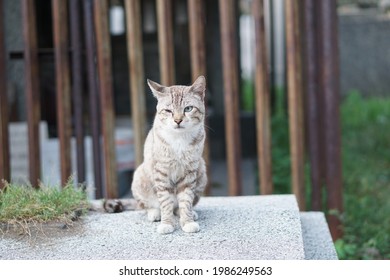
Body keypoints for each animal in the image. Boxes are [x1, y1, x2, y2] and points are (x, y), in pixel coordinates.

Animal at [130, 76, 207, 234]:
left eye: (188, 109)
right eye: (168, 110)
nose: (177, 120)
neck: (179, 139)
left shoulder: (189, 171)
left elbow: (186, 200)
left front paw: (187, 221)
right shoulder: (162, 171)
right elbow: (165, 201)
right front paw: (166, 224)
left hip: (202, 170)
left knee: (179, 206)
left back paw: (190, 213)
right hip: (139, 176)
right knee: (147, 205)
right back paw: (155, 213)